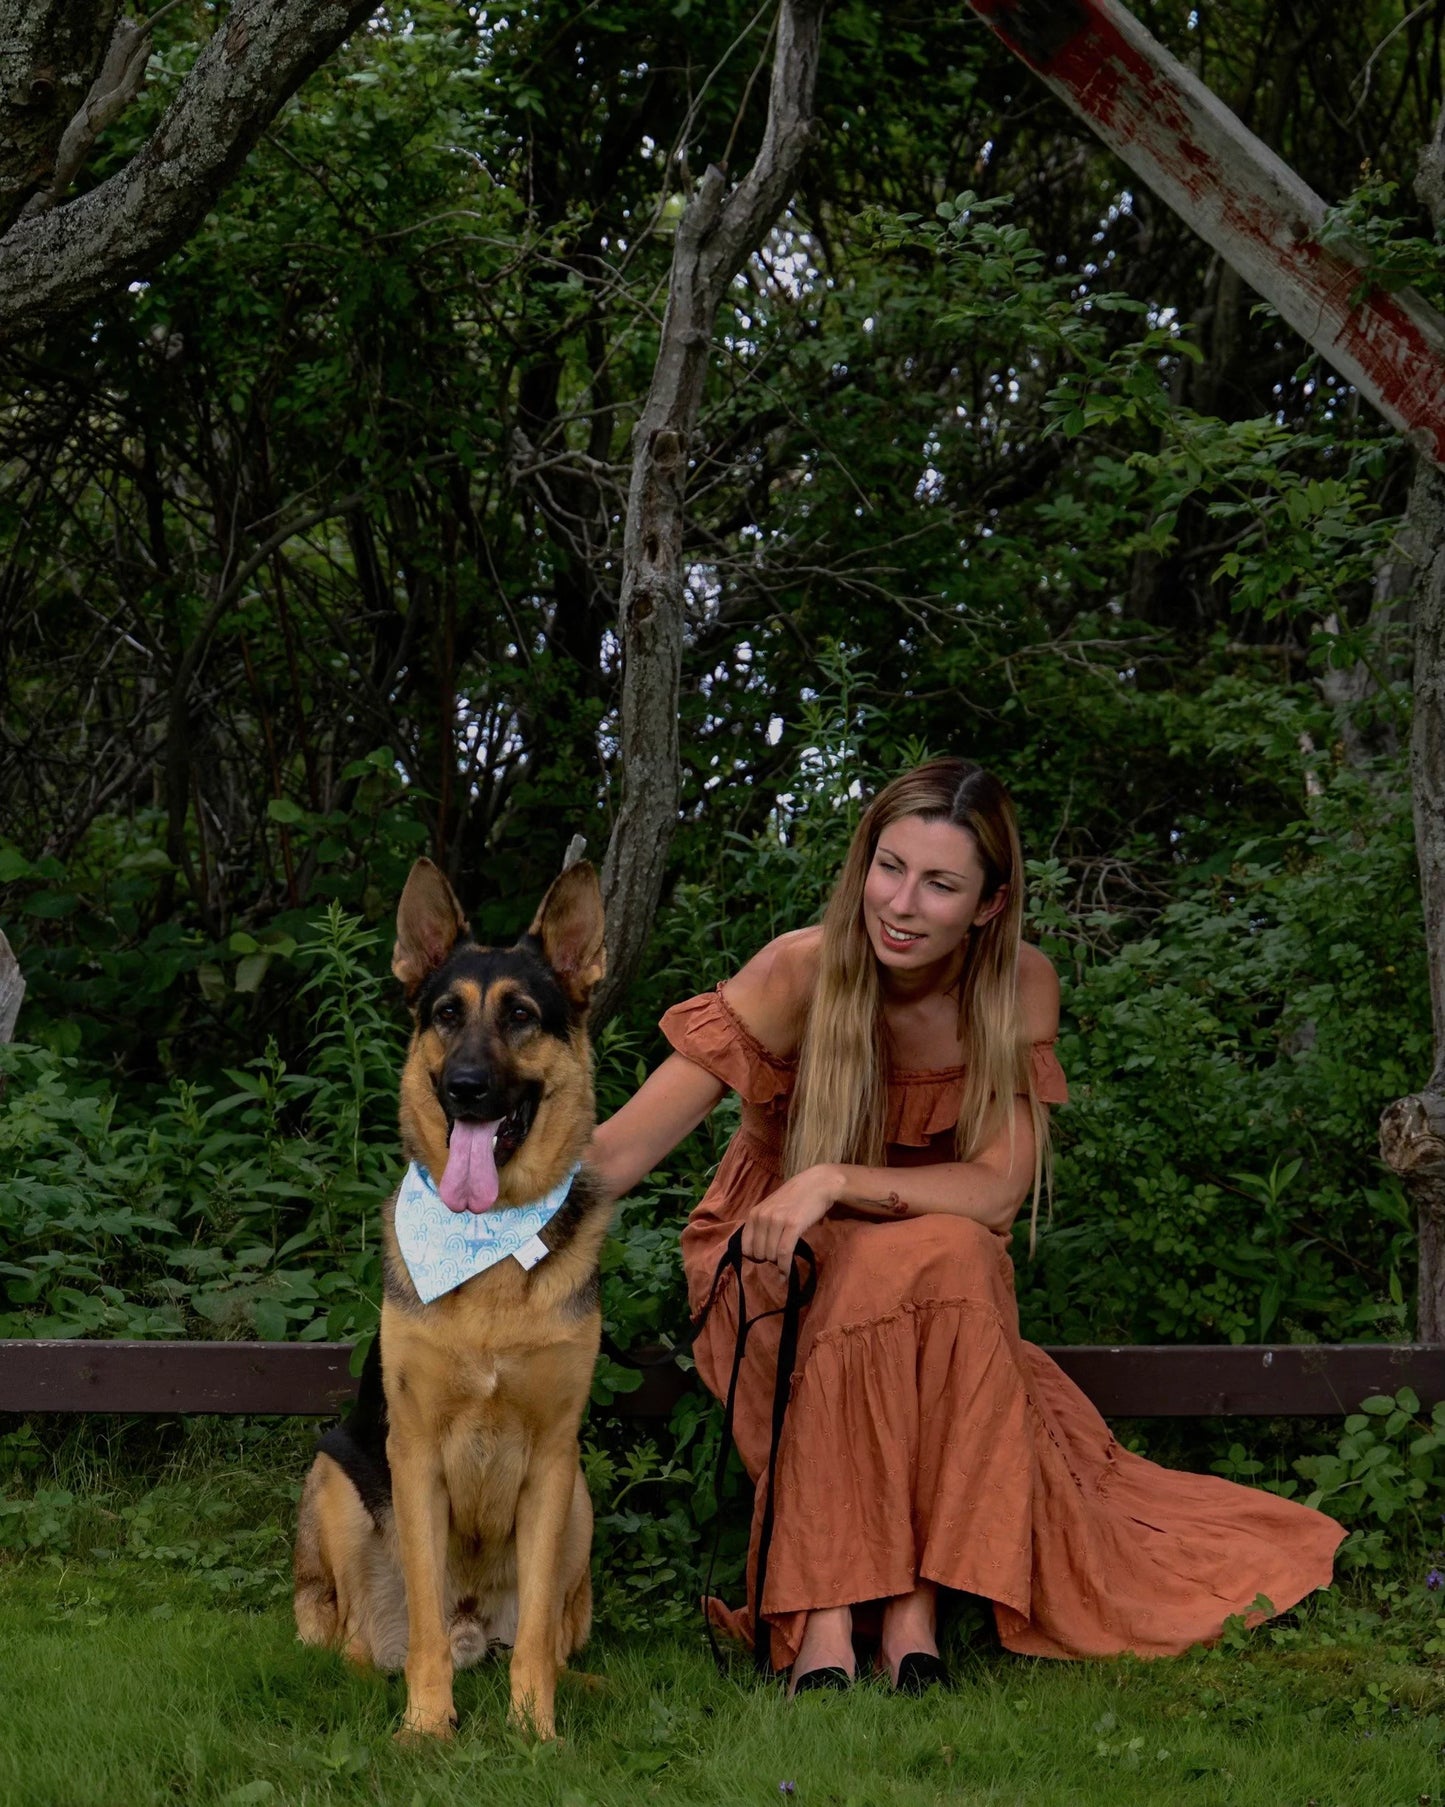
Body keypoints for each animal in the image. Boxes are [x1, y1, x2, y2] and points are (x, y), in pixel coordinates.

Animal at [290, 852, 614, 1741]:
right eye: (444, 1013)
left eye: (521, 1016)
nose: (467, 1087)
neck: (487, 1245)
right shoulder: (413, 1453)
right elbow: (426, 1620)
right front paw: (427, 1726)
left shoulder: (552, 1461)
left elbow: (536, 1630)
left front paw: (534, 1729)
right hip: (335, 1477)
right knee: (353, 1633)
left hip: (580, 1502)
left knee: (555, 1634)